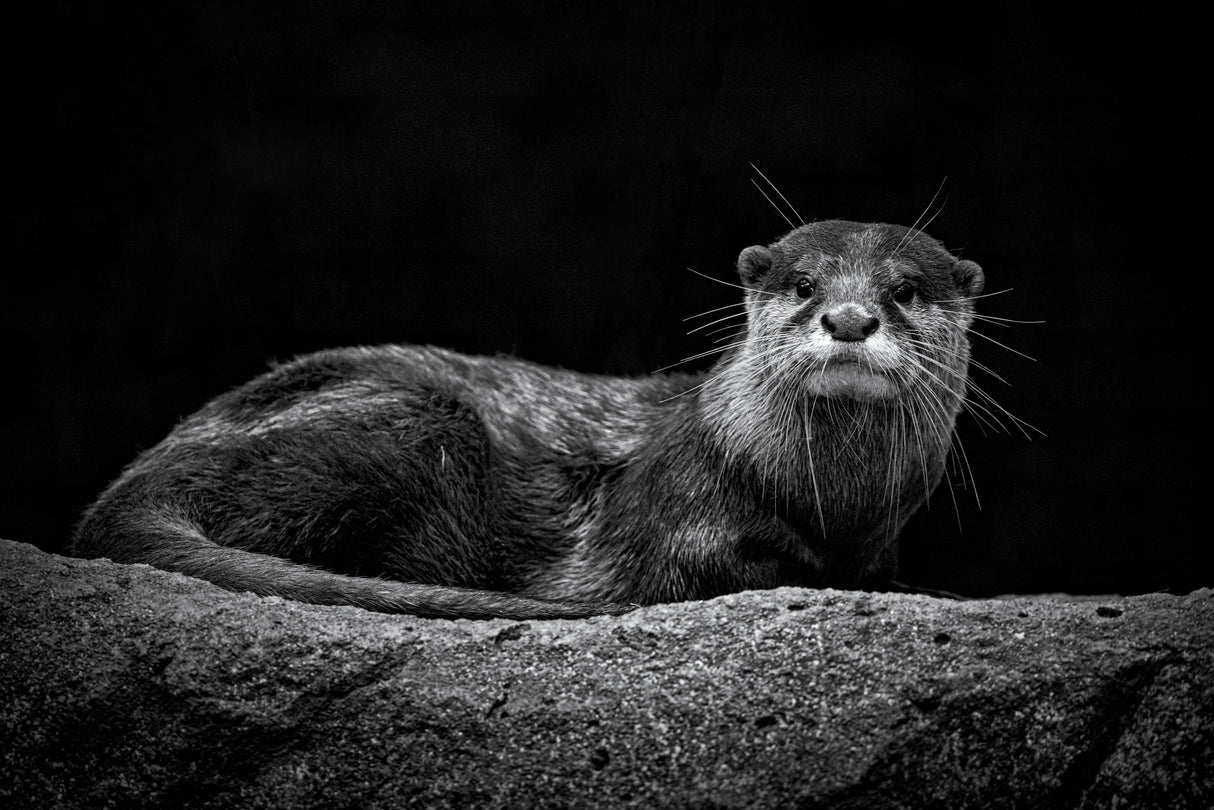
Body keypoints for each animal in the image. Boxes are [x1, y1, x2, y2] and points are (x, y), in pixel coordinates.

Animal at [71, 220, 984, 619]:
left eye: (905, 290)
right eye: (803, 283)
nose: (850, 318)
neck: (831, 502)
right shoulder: (673, 512)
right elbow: (721, 570)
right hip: (411, 424)